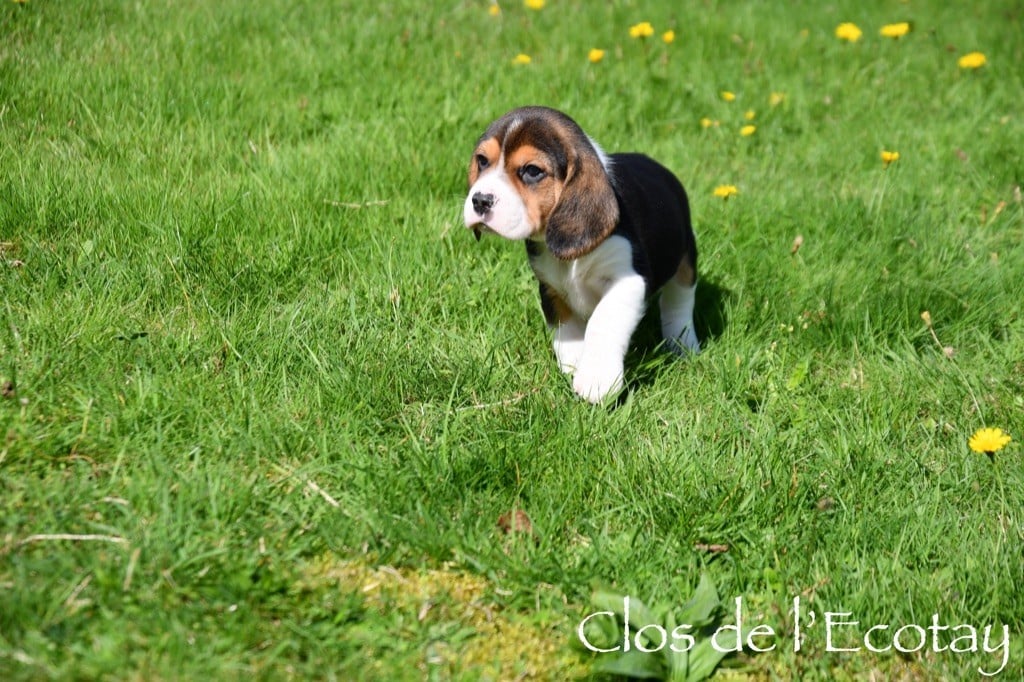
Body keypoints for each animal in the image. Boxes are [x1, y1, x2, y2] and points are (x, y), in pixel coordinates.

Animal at [462, 105, 696, 401]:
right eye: (482, 161)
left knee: (679, 301)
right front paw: (575, 363)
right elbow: (565, 330)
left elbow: (602, 320)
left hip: (686, 258)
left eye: (532, 171)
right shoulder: (550, 287)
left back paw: (683, 343)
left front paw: (597, 379)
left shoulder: (628, 280)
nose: (480, 200)